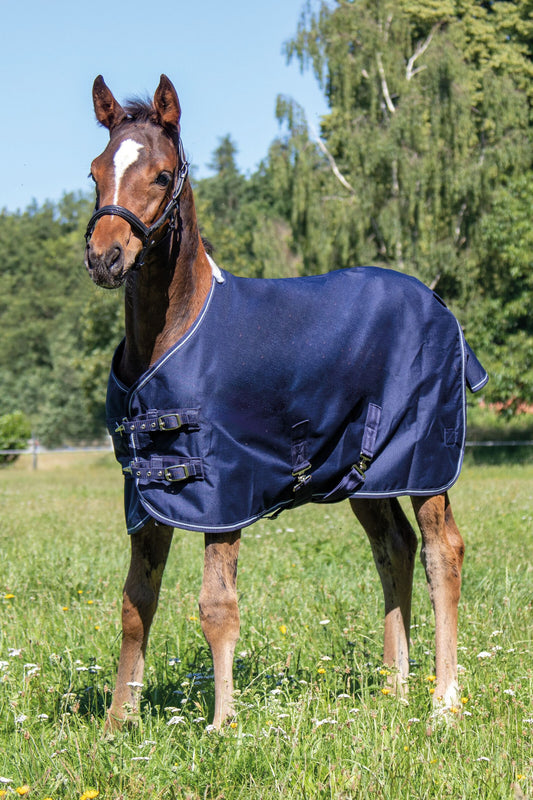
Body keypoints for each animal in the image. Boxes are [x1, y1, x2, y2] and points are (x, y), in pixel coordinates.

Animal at [84, 74, 486, 730]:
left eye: (163, 175)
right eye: (95, 171)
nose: (105, 256)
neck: (169, 336)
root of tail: (439, 305)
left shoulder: (223, 492)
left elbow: (216, 605)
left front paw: (222, 724)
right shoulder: (148, 494)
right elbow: (135, 603)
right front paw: (121, 723)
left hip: (426, 463)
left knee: (440, 553)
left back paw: (443, 702)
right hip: (366, 476)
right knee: (394, 549)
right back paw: (394, 689)